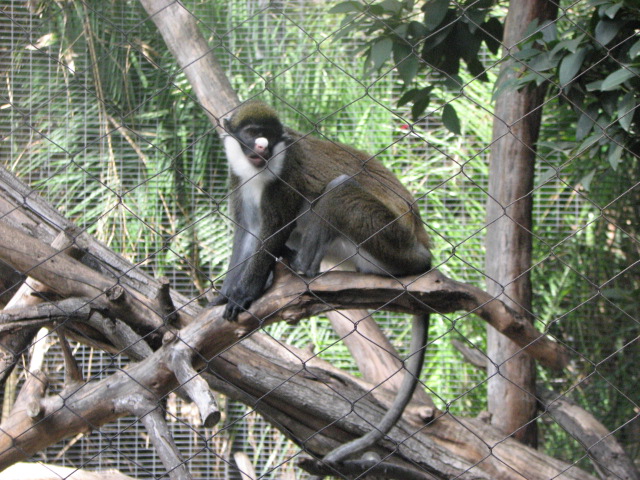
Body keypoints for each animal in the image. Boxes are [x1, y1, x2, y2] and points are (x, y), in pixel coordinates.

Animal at [210, 100, 433, 471]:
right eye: (252, 134)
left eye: (268, 135)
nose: (262, 147)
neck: (261, 169)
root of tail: (423, 249)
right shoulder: (238, 181)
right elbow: (247, 233)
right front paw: (227, 293)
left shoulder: (285, 177)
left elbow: (270, 233)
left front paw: (244, 295)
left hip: (391, 240)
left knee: (338, 191)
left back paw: (303, 267)